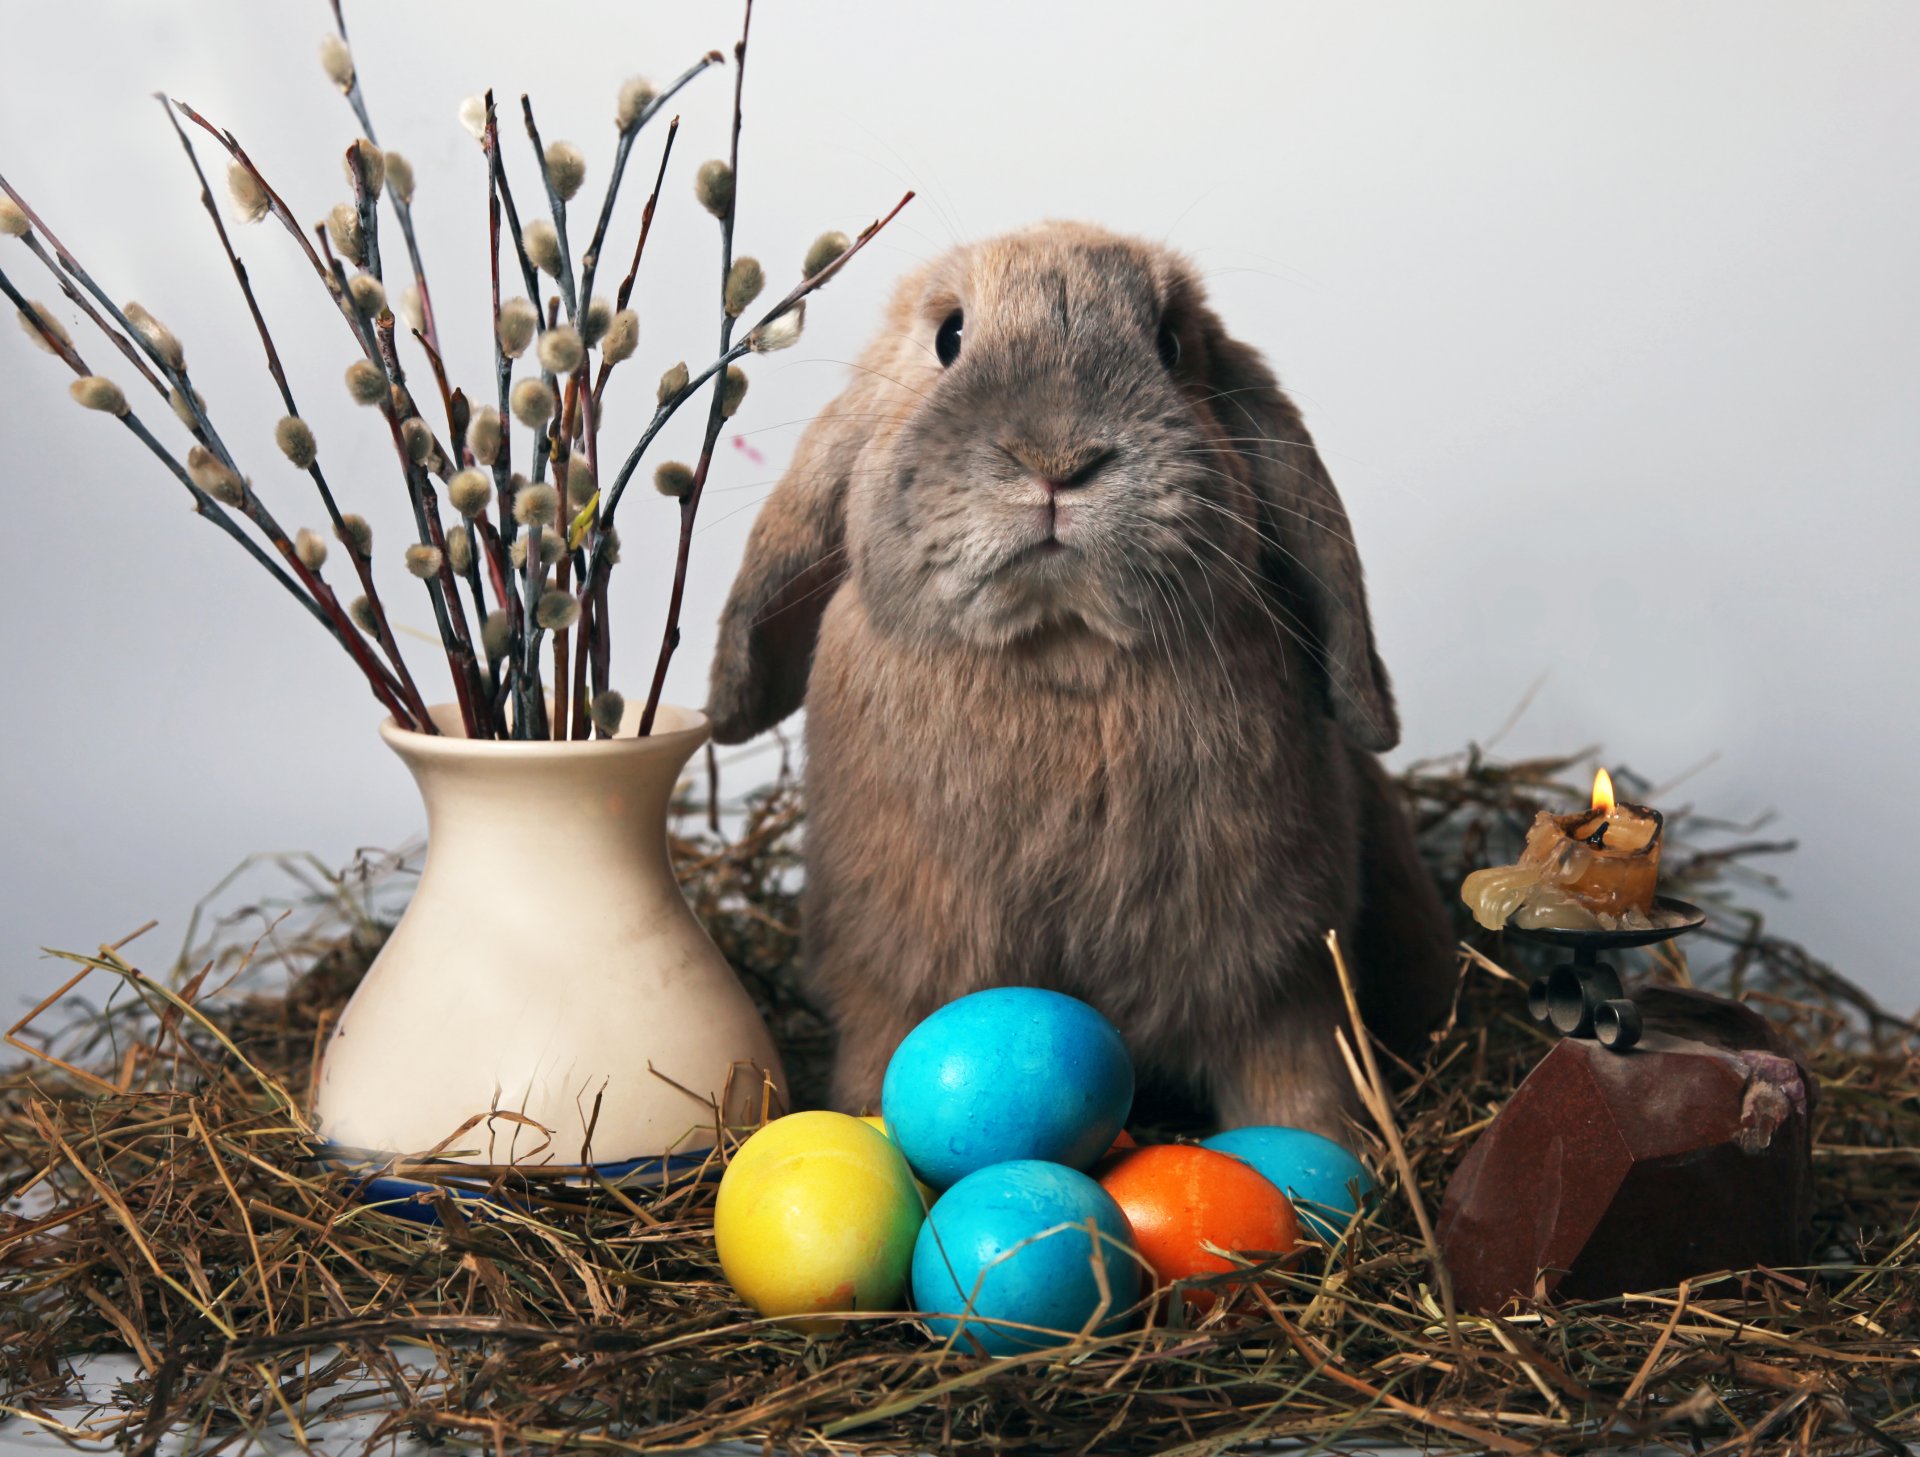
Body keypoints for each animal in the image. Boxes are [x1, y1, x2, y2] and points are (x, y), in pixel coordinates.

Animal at [710, 225, 1451, 1136]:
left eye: (1172, 346)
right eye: (949, 337)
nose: (1058, 458)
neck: (1061, 652)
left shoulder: (1285, 989)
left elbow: (1298, 1089)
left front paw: (1326, 1159)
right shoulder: (896, 989)